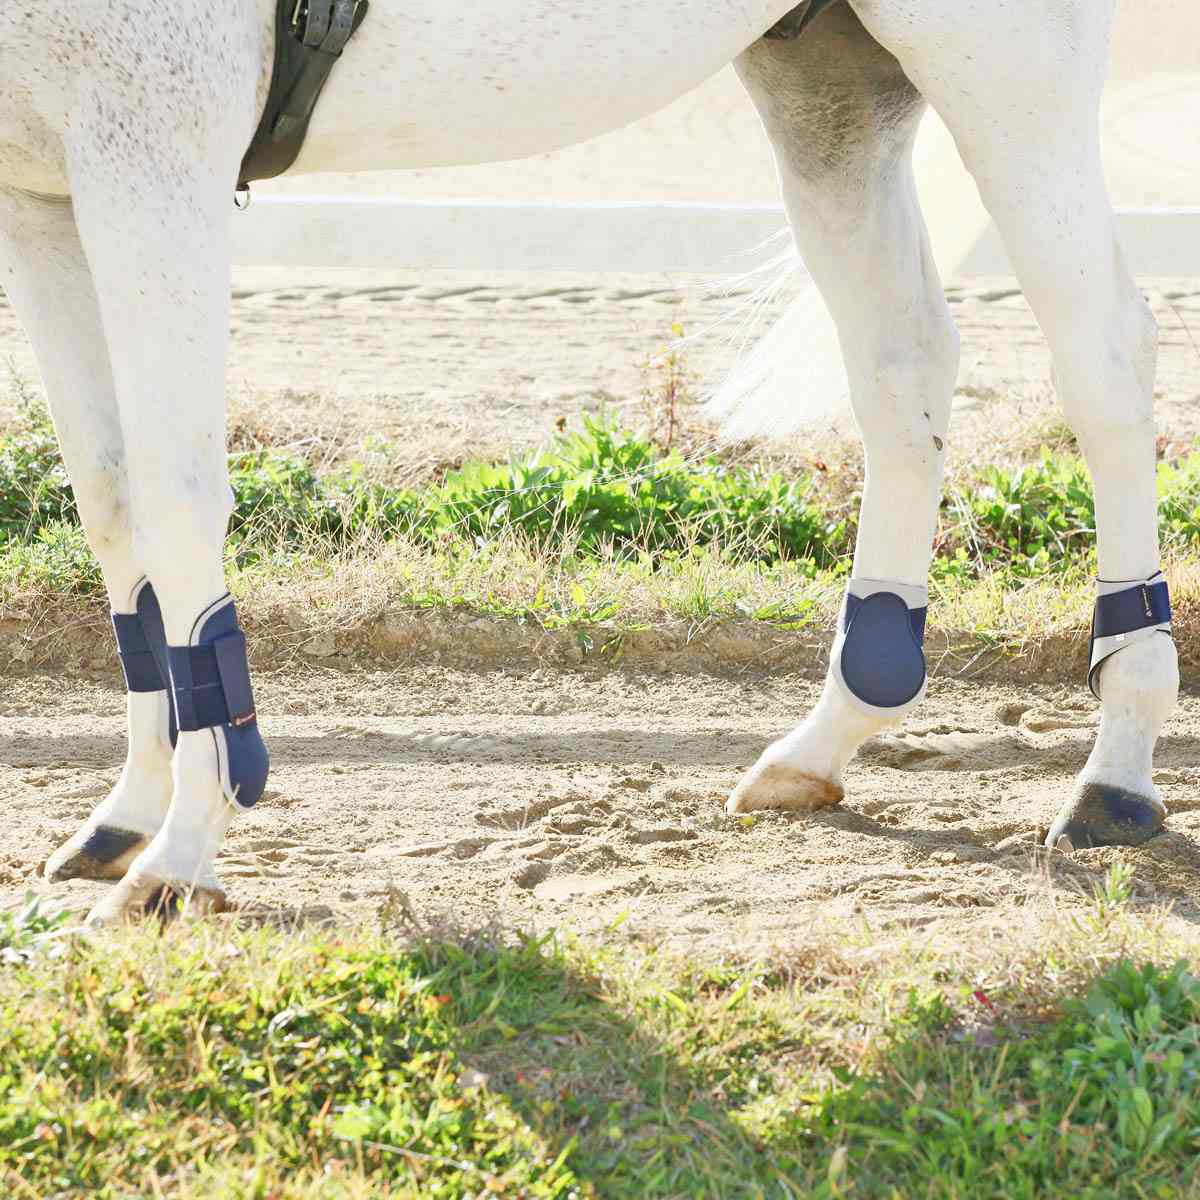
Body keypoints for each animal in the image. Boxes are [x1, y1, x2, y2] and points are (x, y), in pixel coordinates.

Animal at [0, 0, 1176, 923]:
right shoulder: (46, 195)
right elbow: (109, 491)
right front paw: (131, 810)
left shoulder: (153, 155)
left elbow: (174, 494)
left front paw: (182, 850)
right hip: (832, 88)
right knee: (902, 365)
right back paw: (827, 739)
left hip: (1006, 74)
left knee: (1103, 354)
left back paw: (1115, 773)